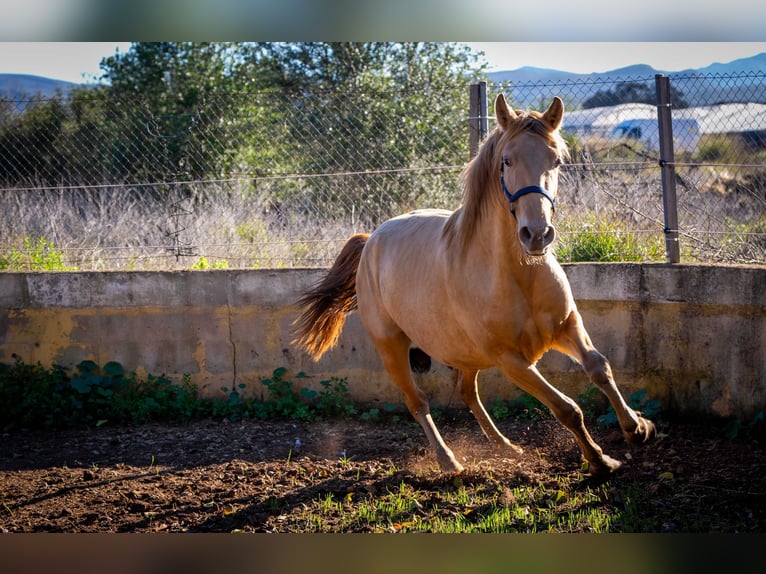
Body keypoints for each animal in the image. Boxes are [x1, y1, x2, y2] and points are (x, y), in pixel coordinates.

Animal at [296, 94, 656, 476]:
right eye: (507, 160)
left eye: (556, 160)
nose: (537, 234)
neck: (519, 274)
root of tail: (371, 241)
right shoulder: (512, 360)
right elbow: (567, 408)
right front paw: (601, 459)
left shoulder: (567, 326)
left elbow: (600, 368)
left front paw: (638, 427)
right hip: (392, 347)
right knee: (417, 402)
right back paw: (449, 461)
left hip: (465, 352)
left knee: (467, 391)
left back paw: (508, 447)